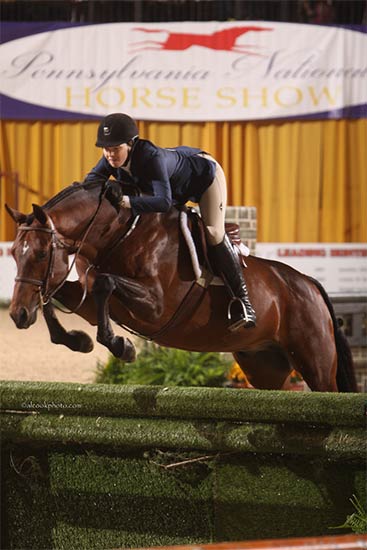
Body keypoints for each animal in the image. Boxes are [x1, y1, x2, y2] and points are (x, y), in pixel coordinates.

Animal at [5, 181, 356, 392]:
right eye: (13, 252)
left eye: (40, 254)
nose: (17, 315)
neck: (121, 233)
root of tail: (310, 284)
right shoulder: (88, 300)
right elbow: (55, 295)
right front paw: (77, 340)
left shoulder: (156, 306)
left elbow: (104, 283)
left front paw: (121, 346)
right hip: (265, 365)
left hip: (316, 362)